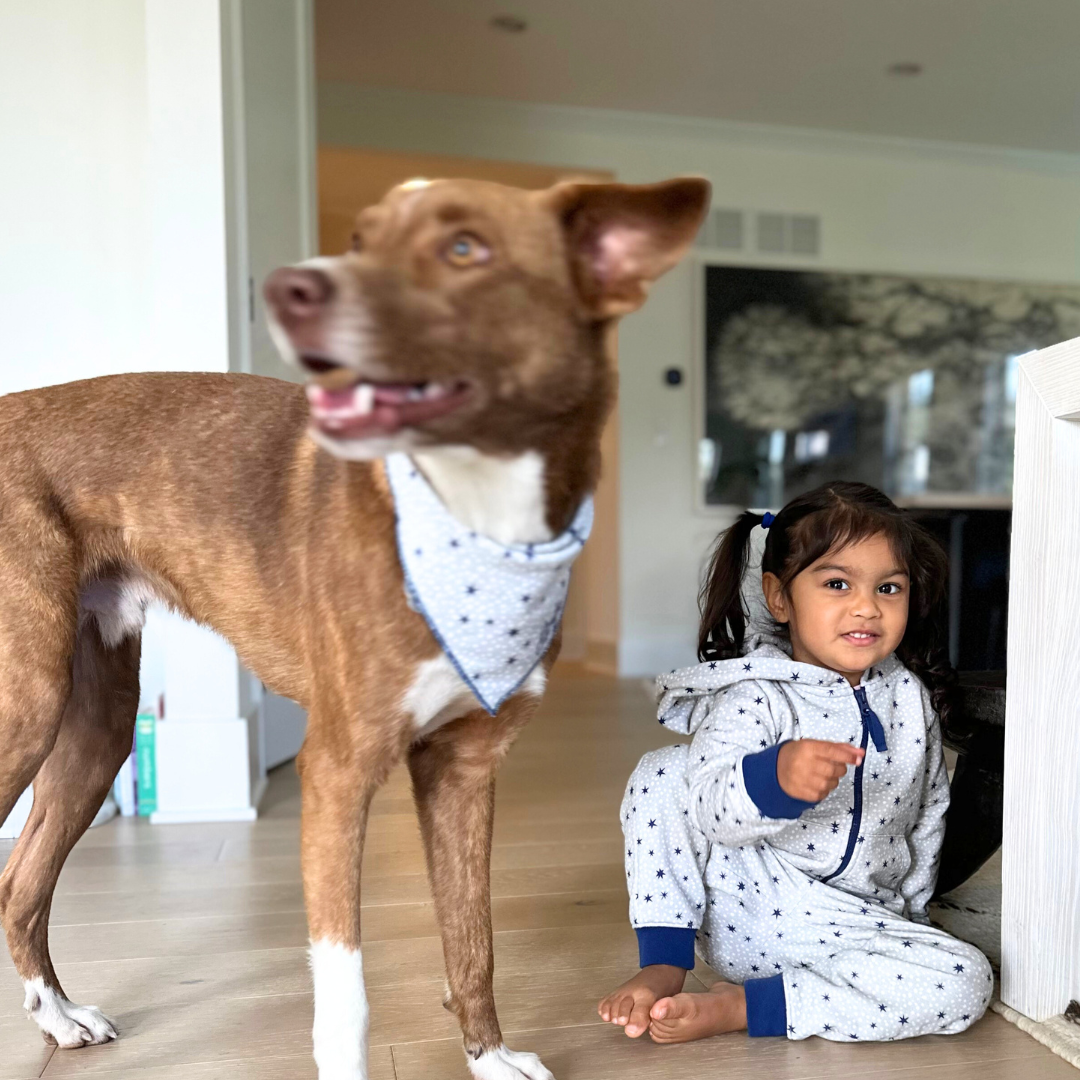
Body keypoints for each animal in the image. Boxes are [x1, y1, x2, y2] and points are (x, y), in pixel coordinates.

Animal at [0, 172, 708, 1075]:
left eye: (464, 248)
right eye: (362, 238)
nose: (284, 287)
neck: (478, 516)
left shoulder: (462, 769)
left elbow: (472, 938)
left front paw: (487, 1055)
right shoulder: (336, 775)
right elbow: (346, 996)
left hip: (96, 726)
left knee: (20, 884)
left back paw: (57, 1017)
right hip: (27, 704)